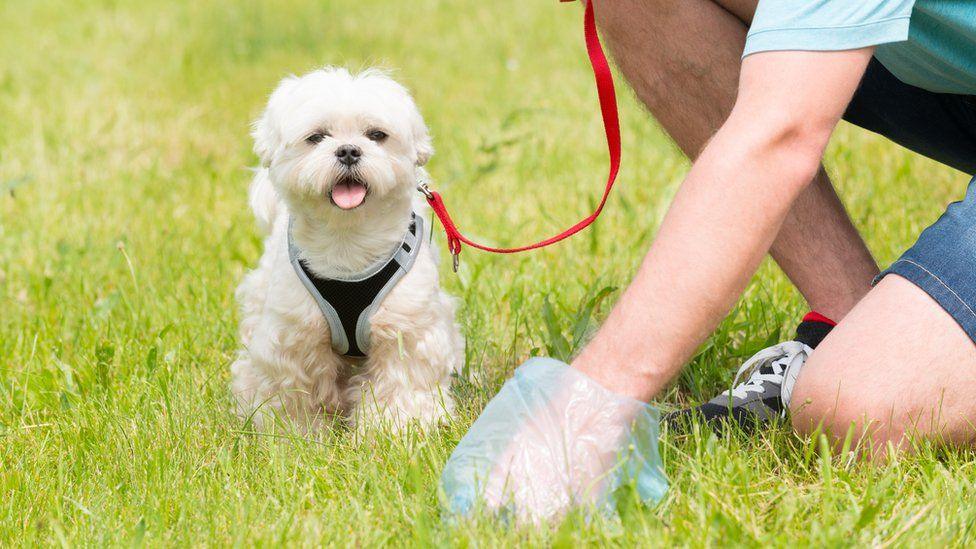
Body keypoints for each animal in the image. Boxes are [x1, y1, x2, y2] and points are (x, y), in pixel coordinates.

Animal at [231, 67, 464, 432]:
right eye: (316, 137)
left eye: (376, 135)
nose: (349, 151)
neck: (348, 242)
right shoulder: (294, 335)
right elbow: (295, 390)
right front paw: (297, 433)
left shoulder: (406, 328)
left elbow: (400, 383)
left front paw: (396, 429)